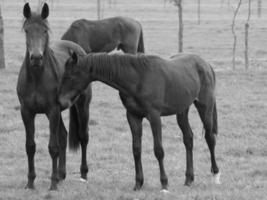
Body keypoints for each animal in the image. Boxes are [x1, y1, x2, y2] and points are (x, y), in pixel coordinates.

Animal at [17, 3, 92, 191]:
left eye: (45, 31)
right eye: (27, 30)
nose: (36, 57)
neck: (37, 77)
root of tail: (77, 48)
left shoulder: (52, 110)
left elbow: (53, 147)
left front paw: (52, 185)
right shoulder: (26, 112)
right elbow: (30, 146)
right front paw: (30, 183)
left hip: (82, 106)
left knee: (83, 137)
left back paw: (83, 174)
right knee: (64, 136)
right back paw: (61, 175)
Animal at [57, 51, 222, 191]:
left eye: (70, 76)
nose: (60, 101)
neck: (137, 79)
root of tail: (206, 64)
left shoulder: (154, 116)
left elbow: (158, 150)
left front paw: (164, 184)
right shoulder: (133, 116)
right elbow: (136, 149)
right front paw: (138, 183)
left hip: (205, 107)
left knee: (210, 138)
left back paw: (215, 175)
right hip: (182, 111)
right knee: (188, 138)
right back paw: (188, 179)